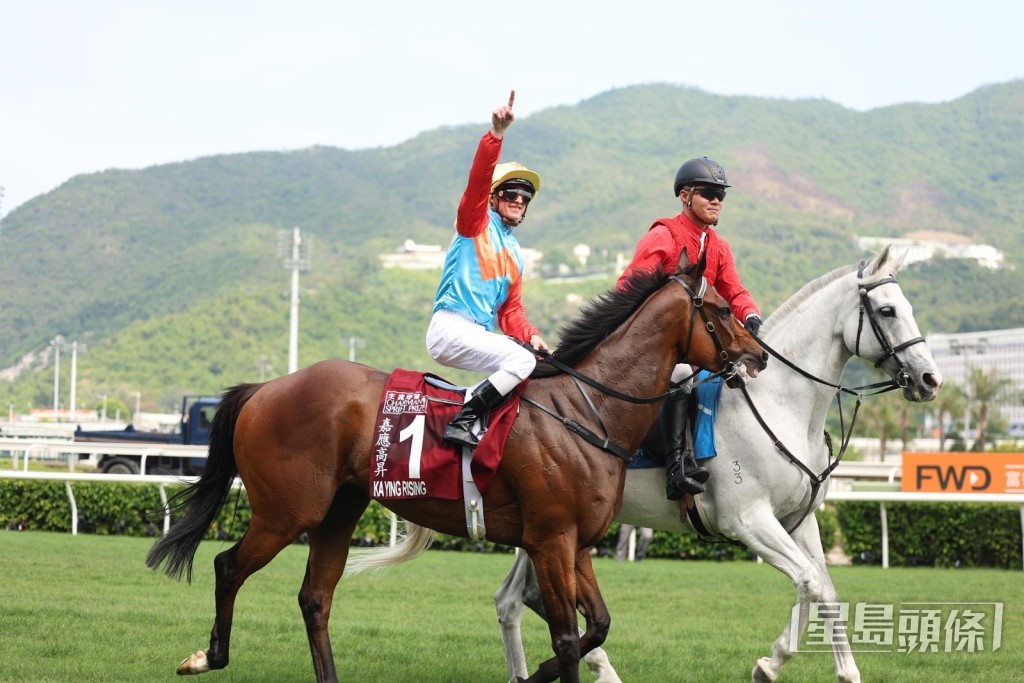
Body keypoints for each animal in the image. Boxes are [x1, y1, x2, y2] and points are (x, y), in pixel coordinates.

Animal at [145, 250, 768, 683]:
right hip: (286, 511)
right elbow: (569, 638)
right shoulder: (549, 540)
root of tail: (265, 388)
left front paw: (534, 674)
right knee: (228, 566)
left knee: (315, 598)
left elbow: (596, 626)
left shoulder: (576, 543)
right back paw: (207, 656)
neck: (587, 410)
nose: (759, 355)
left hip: (339, 512)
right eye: (718, 310)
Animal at [493, 245, 942, 683]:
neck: (779, 403)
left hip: (547, 531)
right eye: (888, 310)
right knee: (526, 599)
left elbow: (825, 591)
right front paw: (770, 663)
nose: (930, 379)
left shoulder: (800, 520)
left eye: (908, 306)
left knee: (512, 598)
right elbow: (809, 581)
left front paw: (847, 672)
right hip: (557, 529)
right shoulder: (748, 521)